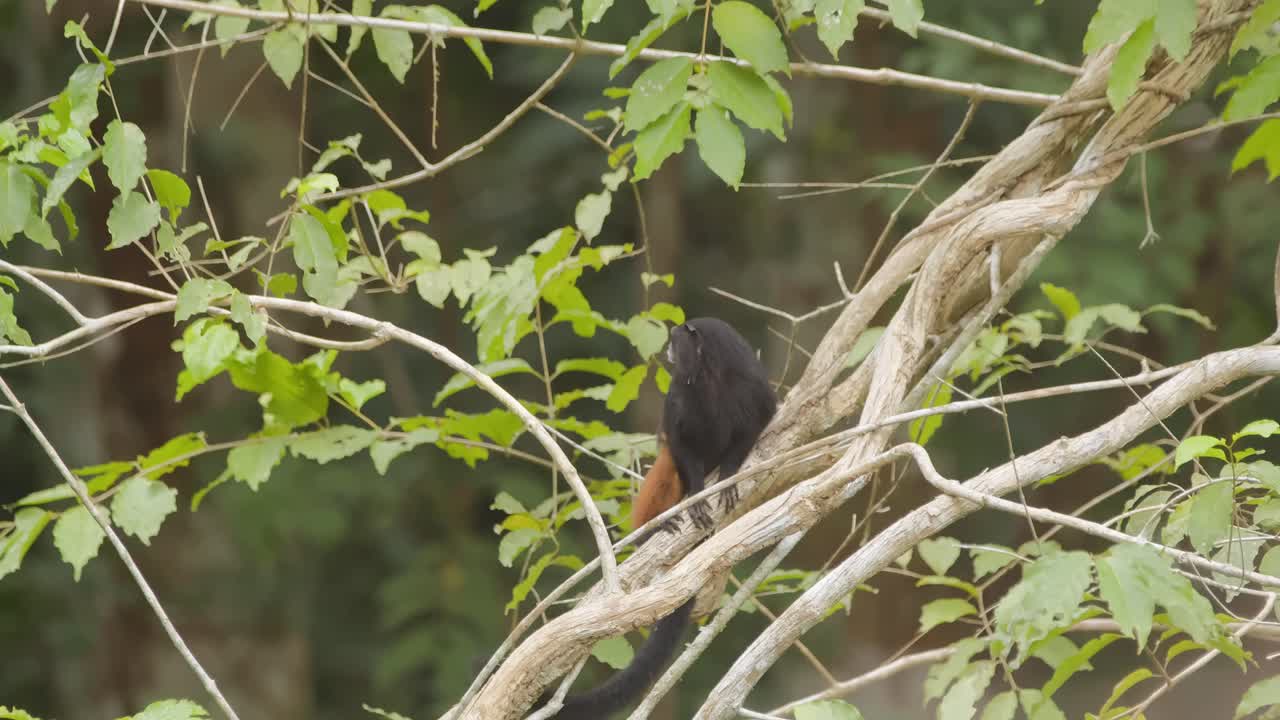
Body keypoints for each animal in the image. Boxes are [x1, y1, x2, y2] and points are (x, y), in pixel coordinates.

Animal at [543, 317, 777, 720]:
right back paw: (654, 527)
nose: (666, 351)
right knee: (667, 466)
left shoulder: (749, 380)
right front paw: (697, 491)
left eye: (674, 341)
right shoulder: (678, 393)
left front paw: (730, 473)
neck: (710, 373)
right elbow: (680, 440)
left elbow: (759, 418)